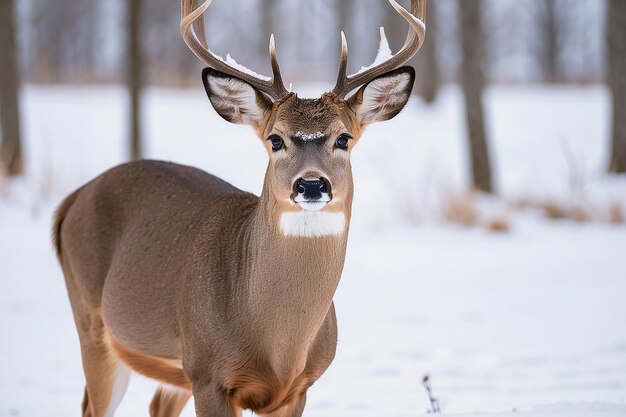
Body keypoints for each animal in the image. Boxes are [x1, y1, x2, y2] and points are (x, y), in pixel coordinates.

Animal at [52, 0, 424, 416]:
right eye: (275, 139)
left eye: (343, 138)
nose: (312, 184)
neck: (278, 345)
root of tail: (72, 199)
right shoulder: (208, 374)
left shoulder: (298, 389)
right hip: (93, 323)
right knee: (91, 402)